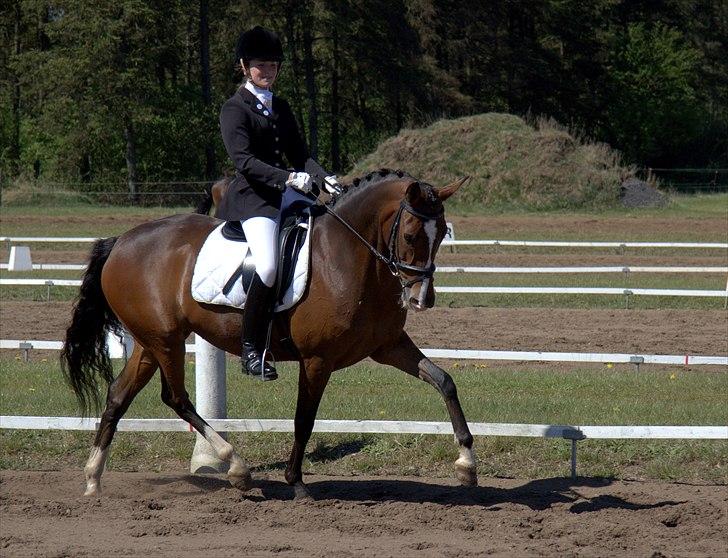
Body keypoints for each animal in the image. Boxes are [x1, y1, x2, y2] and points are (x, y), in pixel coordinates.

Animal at [62, 168, 478, 500]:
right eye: (409, 235)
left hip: (151, 342)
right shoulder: (317, 359)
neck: (349, 258)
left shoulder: (388, 345)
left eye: (442, 234)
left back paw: (93, 479)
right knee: (176, 397)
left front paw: (467, 464)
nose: (421, 298)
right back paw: (236, 468)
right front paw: (297, 483)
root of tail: (121, 241)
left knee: (119, 395)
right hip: (166, 341)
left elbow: (444, 381)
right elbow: (304, 419)